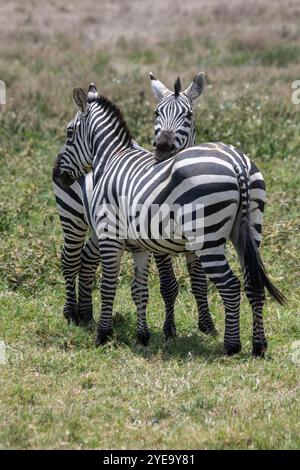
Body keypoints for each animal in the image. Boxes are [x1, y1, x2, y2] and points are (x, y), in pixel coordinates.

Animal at [52, 84, 286, 356]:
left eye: (69, 132)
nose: (56, 175)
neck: (111, 158)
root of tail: (237, 162)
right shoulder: (139, 245)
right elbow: (139, 290)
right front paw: (142, 336)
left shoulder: (111, 236)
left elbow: (109, 284)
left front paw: (103, 334)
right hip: (249, 231)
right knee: (253, 283)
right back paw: (259, 346)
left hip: (204, 239)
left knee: (230, 286)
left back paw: (231, 346)